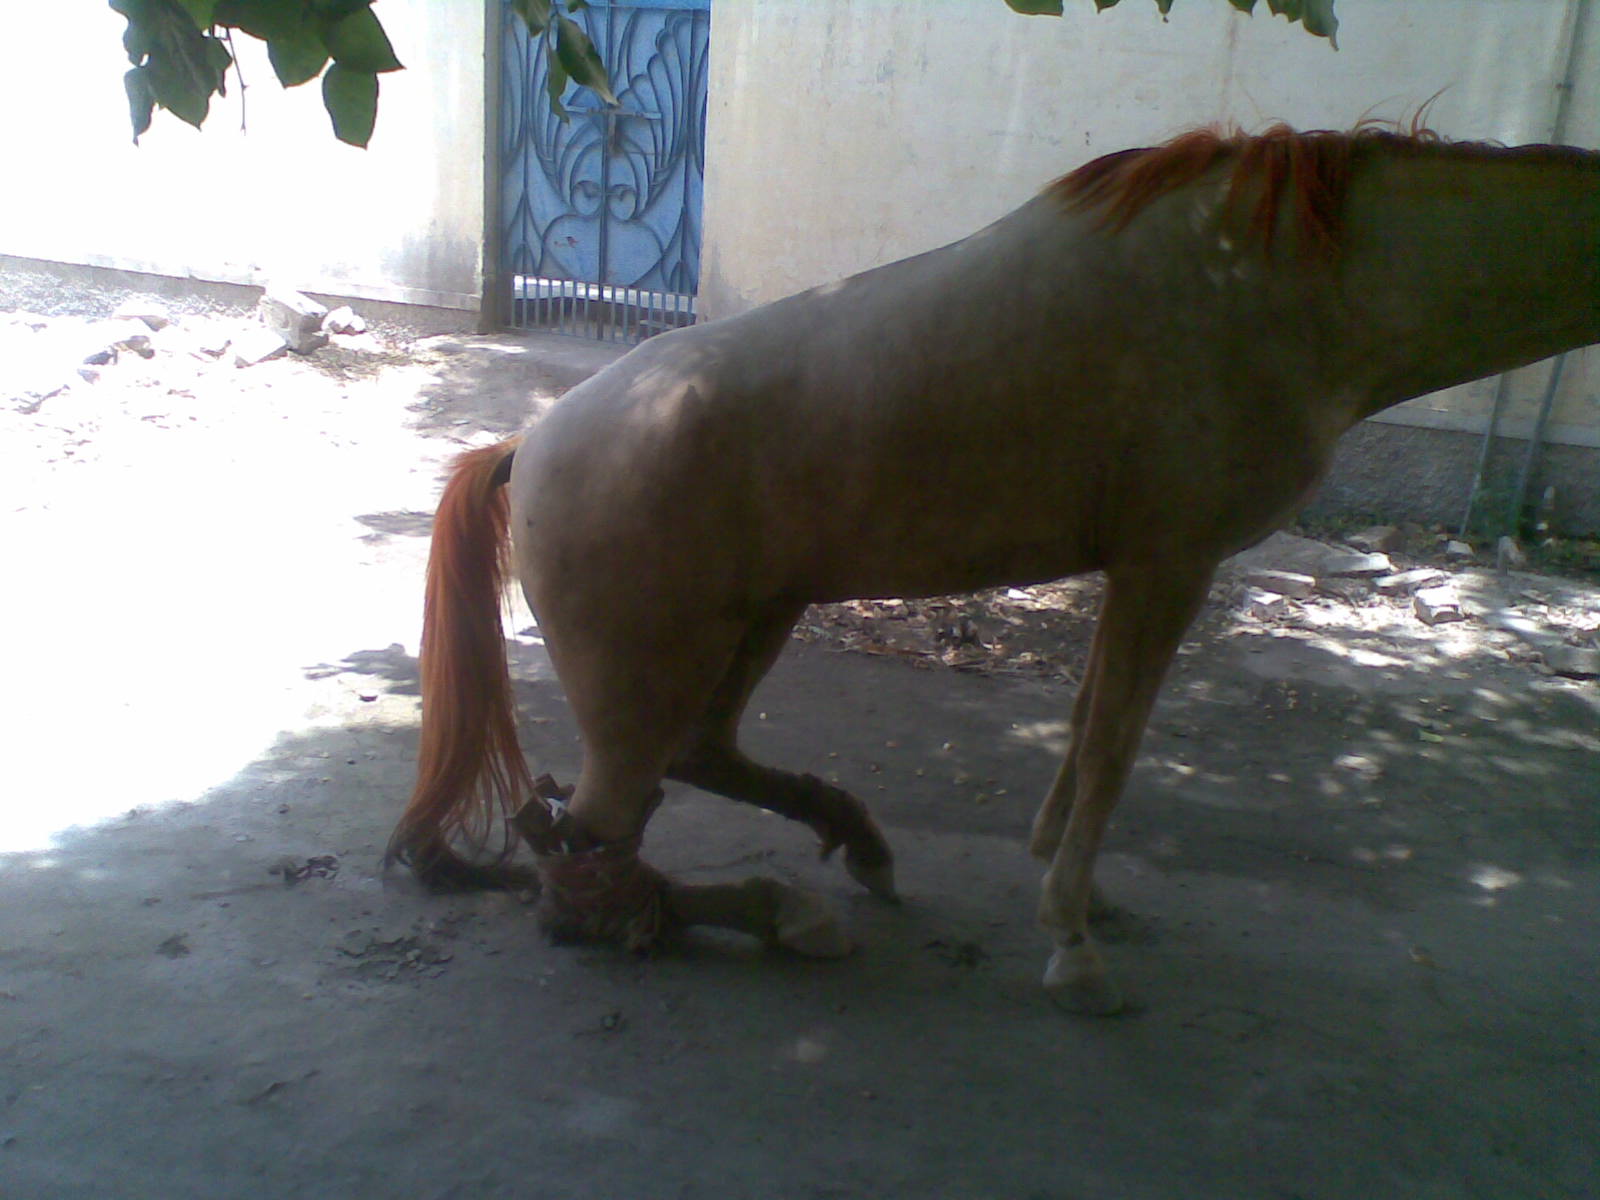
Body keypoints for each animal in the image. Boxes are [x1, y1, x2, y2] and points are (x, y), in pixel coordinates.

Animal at [388, 124, 1600, 1014]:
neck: (1284, 286)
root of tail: (529, 446)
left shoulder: (1138, 568)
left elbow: (1089, 724)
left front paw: (1077, 891)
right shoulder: (1171, 561)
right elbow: (1112, 748)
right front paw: (1075, 946)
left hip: (760, 619)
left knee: (695, 765)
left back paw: (854, 852)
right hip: (644, 688)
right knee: (588, 873)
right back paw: (787, 913)